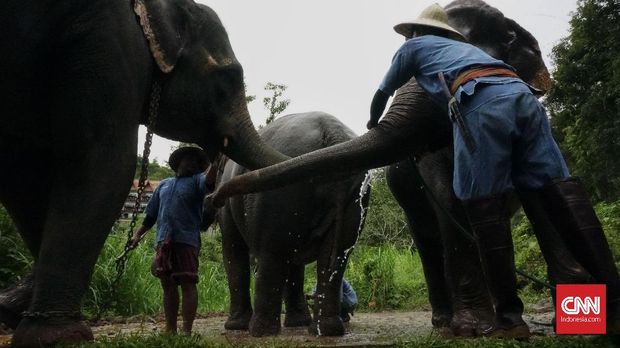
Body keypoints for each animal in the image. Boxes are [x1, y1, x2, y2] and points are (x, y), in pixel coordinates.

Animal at [0, 0, 290, 344]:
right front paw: (60, 336)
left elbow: (25, 171)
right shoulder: (113, 40)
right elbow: (103, 162)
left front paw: (17, 311)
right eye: (229, 77)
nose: (219, 153)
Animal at [214, 112, 368, 338]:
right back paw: (326, 331)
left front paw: (234, 327)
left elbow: (233, 251)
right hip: (354, 199)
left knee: (272, 253)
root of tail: (332, 135)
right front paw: (298, 324)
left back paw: (260, 332)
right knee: (334, 256)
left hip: (280, 194)